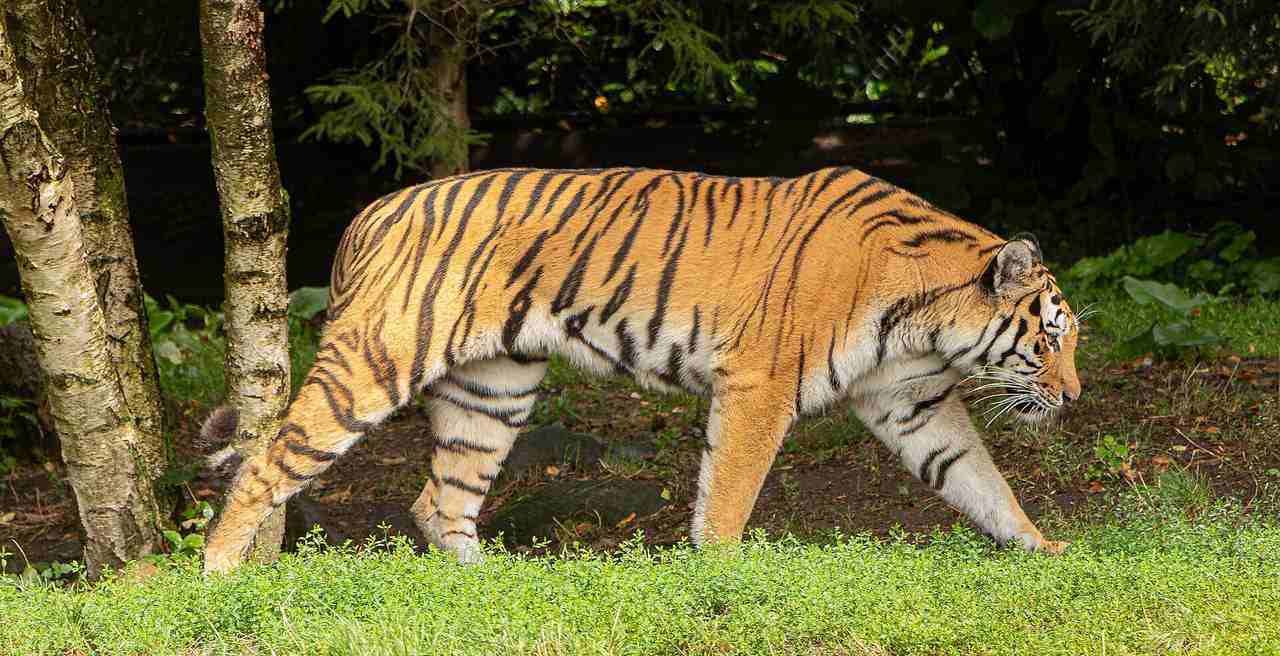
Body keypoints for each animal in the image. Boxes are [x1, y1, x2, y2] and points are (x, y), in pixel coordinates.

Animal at [202, 166, 1082, 574]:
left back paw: (491, 588)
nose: (1074, 395)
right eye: (1047, 340)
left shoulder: (912, 401)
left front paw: (1049, 551)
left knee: (439, 498)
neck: (924, 320)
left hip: (493, 386)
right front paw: (721, 576)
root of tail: (373, 211)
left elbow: (978, 478)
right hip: (372, 361)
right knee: (265, 463)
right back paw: (219, 575)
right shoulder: (759, 386)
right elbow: (728, 495)